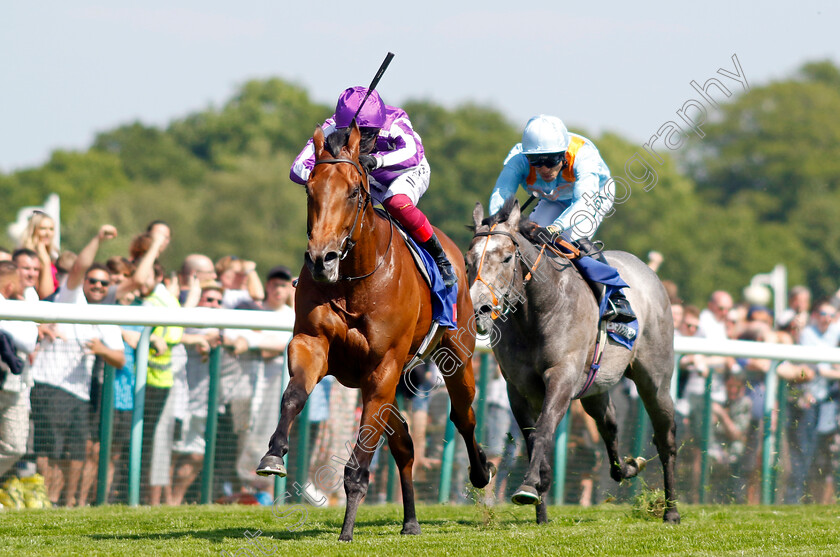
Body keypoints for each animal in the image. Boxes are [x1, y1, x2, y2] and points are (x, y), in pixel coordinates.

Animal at [256, 122, 492, 540]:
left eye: (353, 191)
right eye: (310, 190)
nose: (321, 259)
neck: (354, 278)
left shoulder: (383, 367)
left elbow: (359, 460)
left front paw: (347, 531)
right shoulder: (312, 344)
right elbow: (293, 396)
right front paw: (273, 454)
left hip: (456, 357)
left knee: (463, 416)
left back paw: (481, 471)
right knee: (405, 444)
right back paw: (410, 522)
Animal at [466, 201, 684, 524]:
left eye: (506, 258)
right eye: (469, 261)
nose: (479, 308)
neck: (537, 313)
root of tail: (645, 269)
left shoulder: (562, 376)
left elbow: (543, 429)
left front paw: (528, 486)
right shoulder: (517, 387)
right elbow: (533, 437)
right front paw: (541, 506)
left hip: (655, 379)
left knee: (665, 437)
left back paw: (671, 511)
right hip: (595, 387)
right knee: (609, 424)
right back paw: (628, 467)